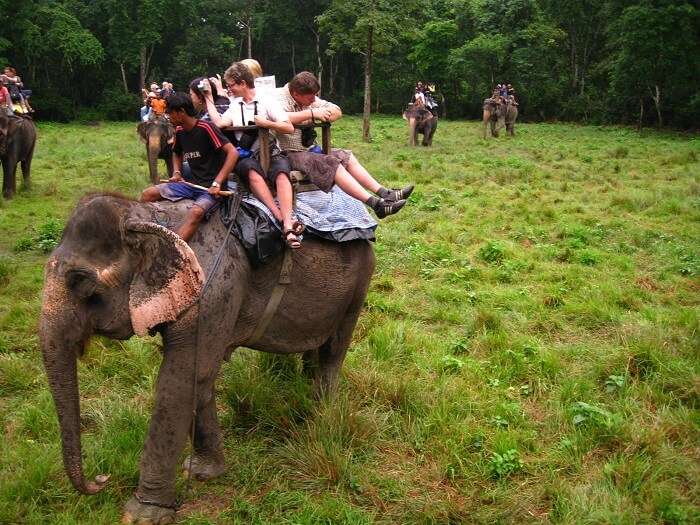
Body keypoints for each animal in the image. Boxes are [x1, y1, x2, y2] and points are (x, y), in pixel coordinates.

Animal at [38, 193, 374, 524]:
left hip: (360, 282)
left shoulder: (214, 290)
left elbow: (183, 378)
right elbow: (201, 378)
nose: (101, 480)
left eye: (81, 281)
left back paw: (320, 414)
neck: (150, 216)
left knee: (334, 349)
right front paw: (202, 472)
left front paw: (144, 514)